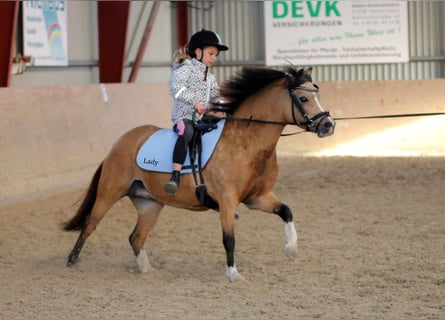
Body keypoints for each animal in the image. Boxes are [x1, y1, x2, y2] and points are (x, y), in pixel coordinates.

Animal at [62, 66, 332, 282]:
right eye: (303, 98)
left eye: (315, 95)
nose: (328, 125)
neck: (247, 143)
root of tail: (120, 142)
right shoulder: (227, 201)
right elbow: (229, 239)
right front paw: (233, 274)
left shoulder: (257, 198)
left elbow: (286, 211)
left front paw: (291, 249)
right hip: (110, 192)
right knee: (90, 224)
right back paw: (72, 260)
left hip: (150, 204)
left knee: (136, 237)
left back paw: (147, 270)